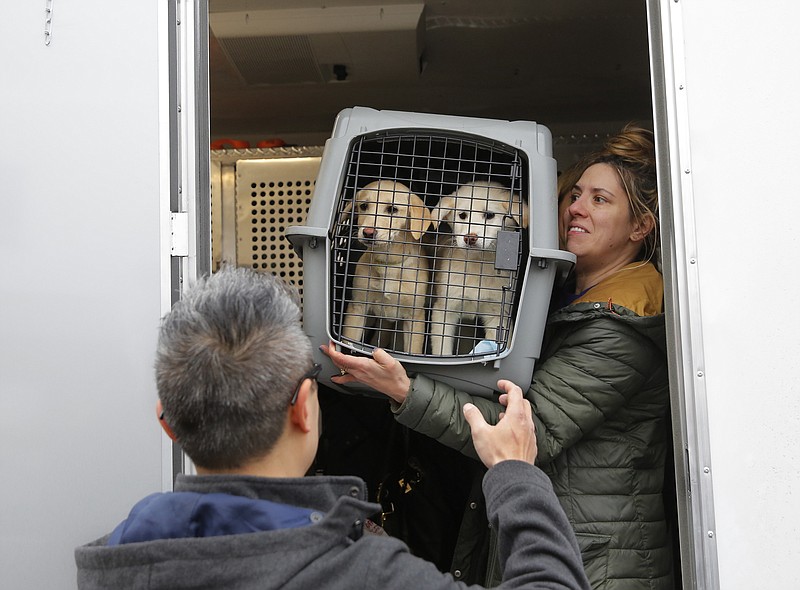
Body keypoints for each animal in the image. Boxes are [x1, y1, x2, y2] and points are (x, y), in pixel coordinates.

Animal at [340, 180, 434, 356]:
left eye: (392, 209)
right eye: (363, 206)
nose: (368, 232)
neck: (388, 263)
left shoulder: (415, 317)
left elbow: (413, 350)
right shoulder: (358, 307)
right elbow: (348, 344)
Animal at [428, 180, 528, 356]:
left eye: (489, 215)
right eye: (462, 215)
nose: (470, 238)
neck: (477, 265)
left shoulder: (497, 315)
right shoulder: (444, 310)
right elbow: (442, 350)